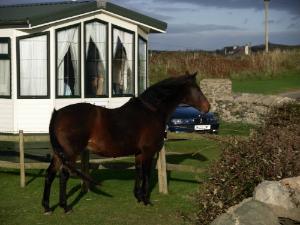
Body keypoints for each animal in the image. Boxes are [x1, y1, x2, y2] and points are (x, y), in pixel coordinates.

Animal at [42, 73, 210, 214]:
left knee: (50, 174)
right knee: (63, 175)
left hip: (59, 154)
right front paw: (146, 200)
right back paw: (65, 206)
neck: (151, 111)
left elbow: (138, 172)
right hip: (70, 153)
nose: (207, 107)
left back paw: (47, 207)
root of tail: (58, 113)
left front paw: (138, 197)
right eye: (196, 89)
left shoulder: (139, 153)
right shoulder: (148, 152)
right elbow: (146, 174)